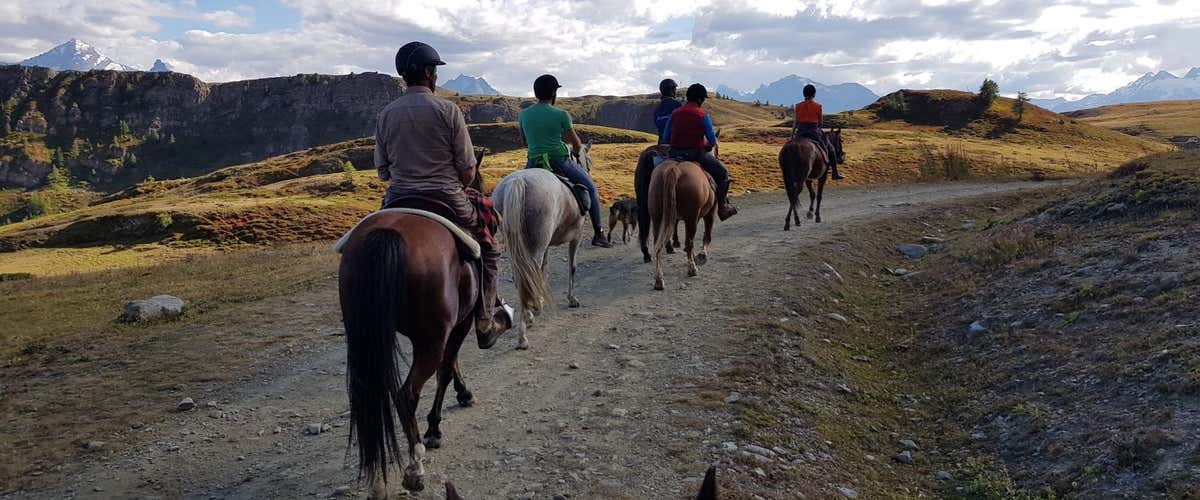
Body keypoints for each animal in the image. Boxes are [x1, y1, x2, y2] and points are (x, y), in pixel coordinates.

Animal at [492, 142, 593, 350]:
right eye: (589, 160)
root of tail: (518, 182)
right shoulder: (576, 237)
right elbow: (572, 267)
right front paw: (572, 299)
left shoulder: (545, 246)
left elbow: (543, 270)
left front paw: (539, 300)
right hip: (535, 244)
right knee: (527, 277)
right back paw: (524, 334)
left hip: (516, 245)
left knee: (522, 275)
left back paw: (530, 311)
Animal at [647, 152, 717, 291]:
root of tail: (674, 169)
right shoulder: (708, 214)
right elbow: (706, 236)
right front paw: (702, 256)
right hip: (691, 218)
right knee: (689, 242)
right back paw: (692, 269)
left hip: (657, 218)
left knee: (657, 246)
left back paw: (659, 280)